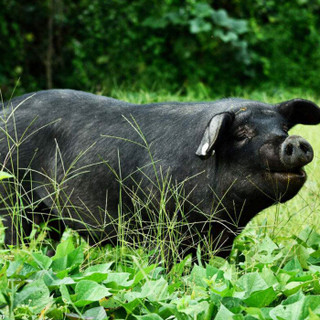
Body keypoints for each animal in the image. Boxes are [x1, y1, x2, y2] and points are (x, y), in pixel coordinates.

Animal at [0, 89, 320, 258]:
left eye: (284, 128)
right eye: (242, 133)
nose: (294, 141)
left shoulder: (221, 238)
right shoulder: (159, 223)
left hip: (47, 212)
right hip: (11, 196)